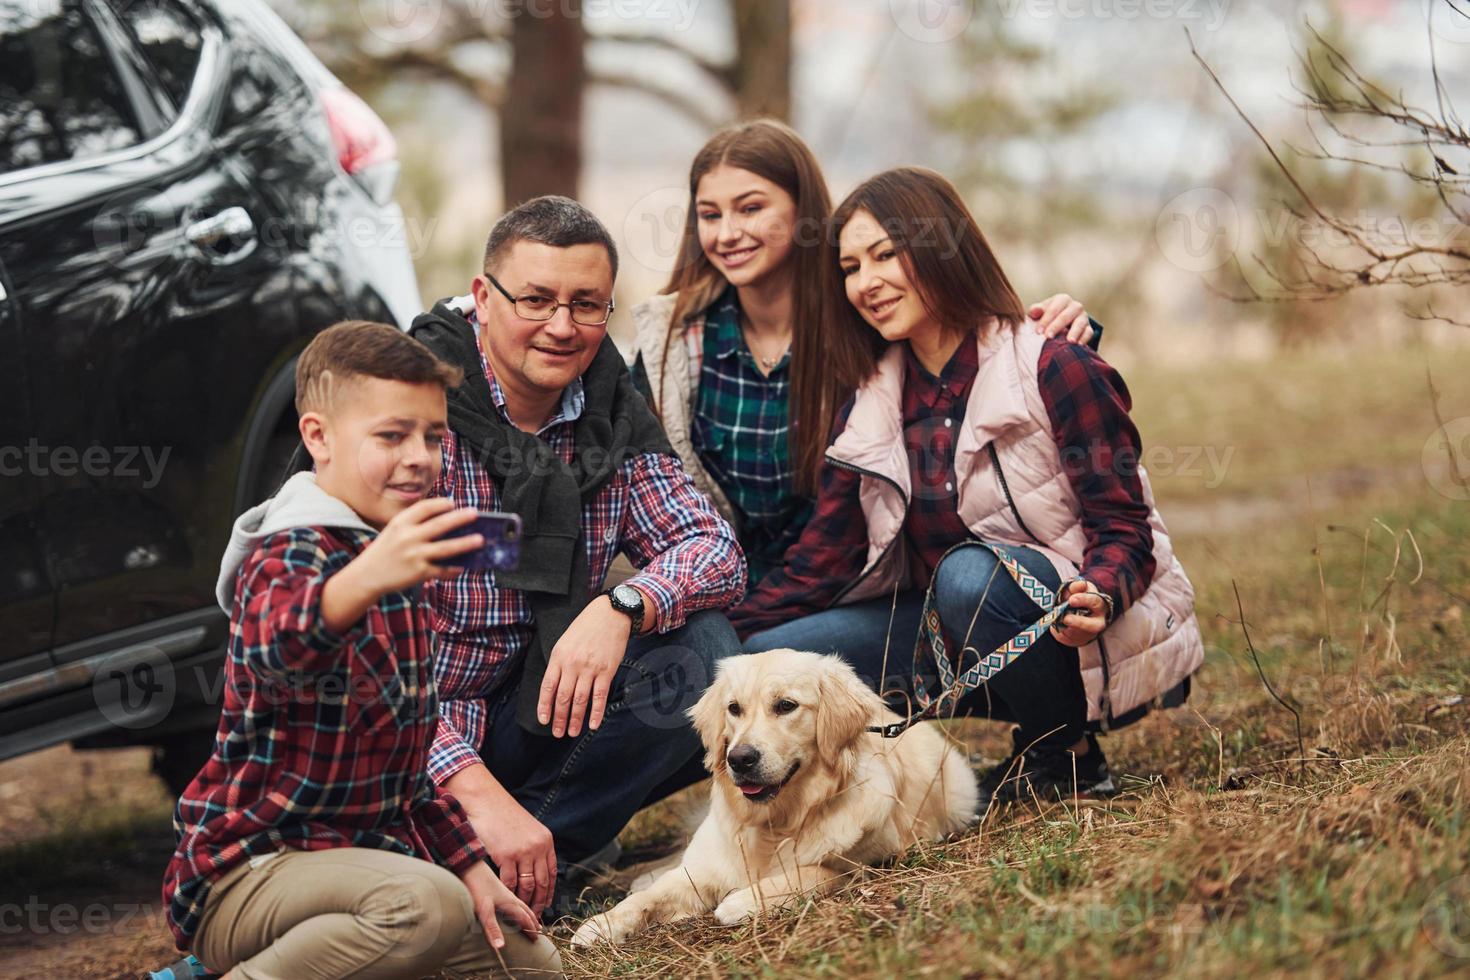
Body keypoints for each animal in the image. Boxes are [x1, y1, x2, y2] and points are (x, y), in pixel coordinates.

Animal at [570, 646, 976, 946]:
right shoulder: (702, 868)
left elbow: (810, 872)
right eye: (733, 709)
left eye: (786, 706)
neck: (774, 822)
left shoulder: (867, 865)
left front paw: (742, 900)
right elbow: (648, 898)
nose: (739, 759)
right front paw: (601, 924)